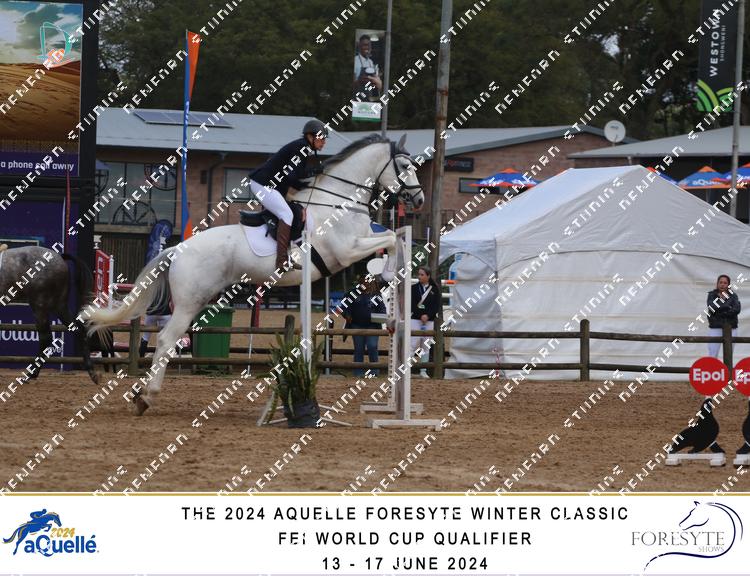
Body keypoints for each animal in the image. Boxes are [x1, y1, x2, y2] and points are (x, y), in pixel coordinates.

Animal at [0, 245, 99, 384]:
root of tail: (59, 257)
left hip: (40, 305)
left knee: (45, 338)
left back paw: (31, 374)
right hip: (59, 306)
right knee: (78, 330)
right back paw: (91, 372)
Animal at [82, 134, 425, 415]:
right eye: (404, 166)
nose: (419, 200)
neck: (340, 201)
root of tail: (178, 249)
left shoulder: (358, 243)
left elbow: (390, 238)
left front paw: (392, 276)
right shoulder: (346, 251)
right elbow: (390, 239)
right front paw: (391, 274)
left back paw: (141, 394)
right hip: (191, 301)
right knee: (167, 339)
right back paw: (146, 396)